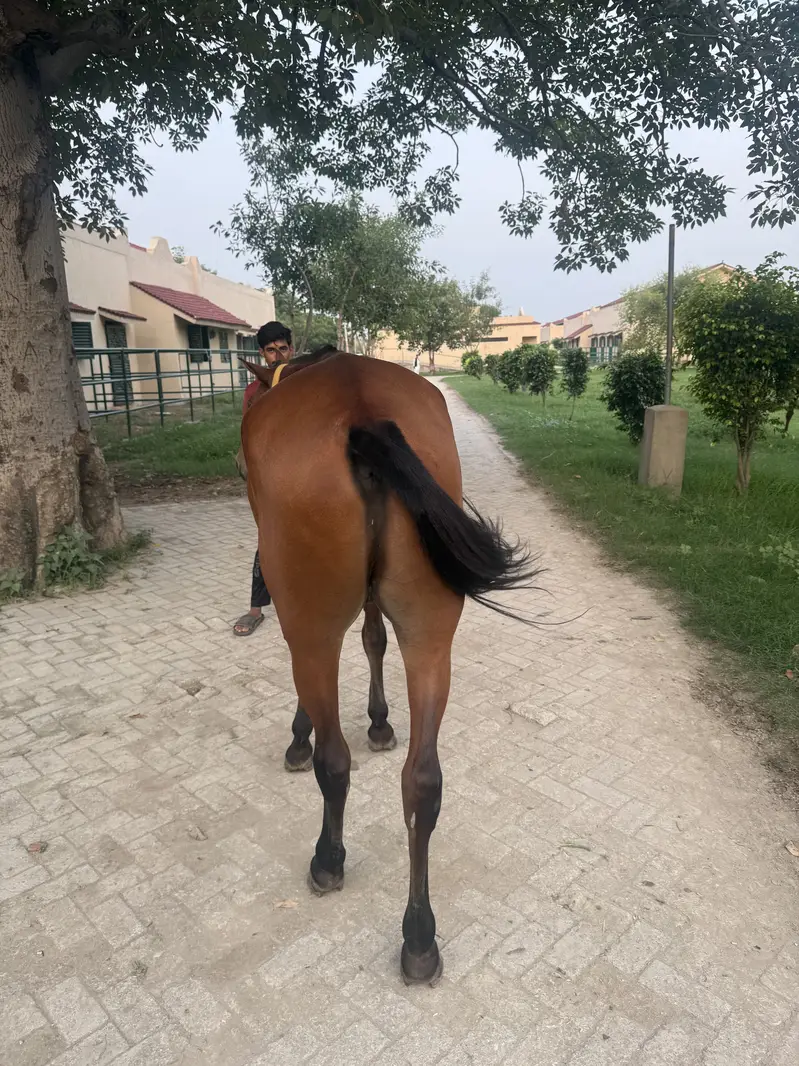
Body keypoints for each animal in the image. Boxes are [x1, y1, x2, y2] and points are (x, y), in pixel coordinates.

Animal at [241, 348, 532, 984]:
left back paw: (328, 858)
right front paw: (380, 720)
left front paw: (301, 734)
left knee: (334, 760)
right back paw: (419, 935)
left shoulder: (302, 621)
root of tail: (363, 415)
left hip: (312, 623)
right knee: (423, 782)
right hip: (429, 637)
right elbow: (374, 637)